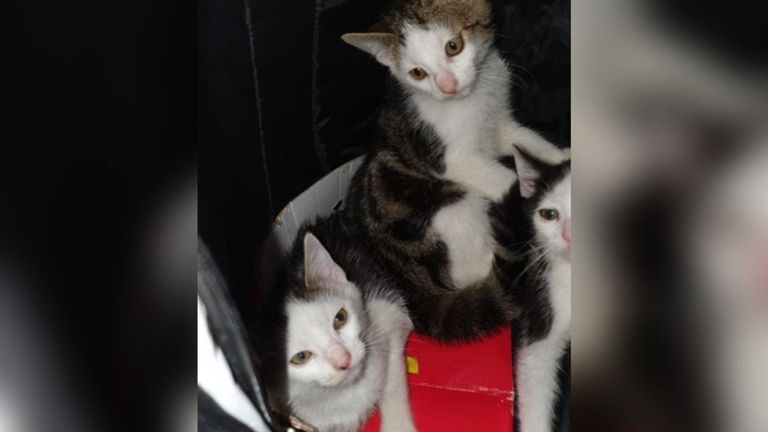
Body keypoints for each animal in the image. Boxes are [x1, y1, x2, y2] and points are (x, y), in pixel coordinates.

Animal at [268, 216, 416, 432]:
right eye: (300, 357)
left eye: (340, 318)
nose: (344, 360)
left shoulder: (385, 316)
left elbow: (393, 381)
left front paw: (398, 426)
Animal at [340, 0, 568, 340]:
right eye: (418, 73)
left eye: (453, 46)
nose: (448, 87)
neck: (473, 99)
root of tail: (412, 288)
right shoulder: (452, 158)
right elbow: (505, 177)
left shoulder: (500, 125)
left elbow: (527, 141)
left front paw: (563, 159)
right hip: (452, 211)